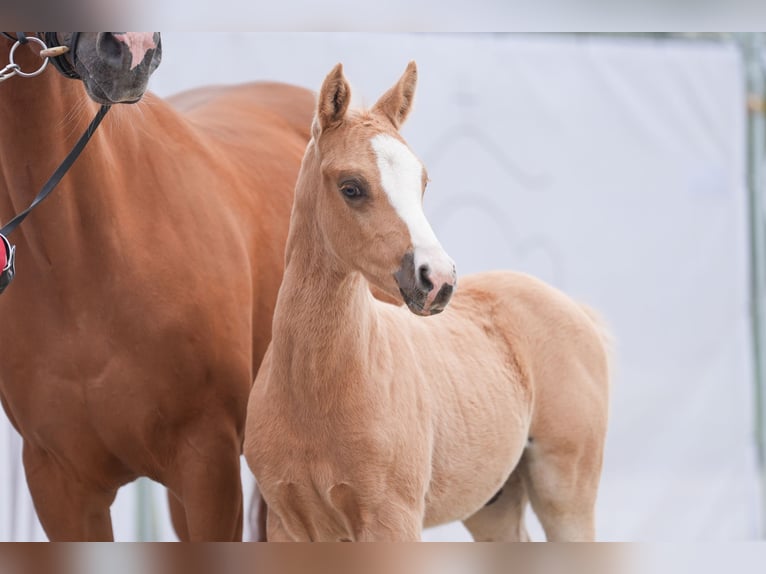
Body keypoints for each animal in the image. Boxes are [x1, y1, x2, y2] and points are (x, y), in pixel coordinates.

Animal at [246, 63, 612, 544]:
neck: (319, 388)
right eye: (351, 187)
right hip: (493, 504)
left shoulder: (392, 520)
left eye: (422, 182)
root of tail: (576, 311)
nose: (437, 280)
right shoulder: (289, 524)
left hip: (566, 493)